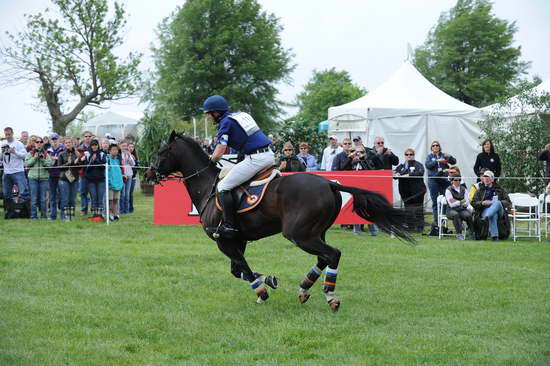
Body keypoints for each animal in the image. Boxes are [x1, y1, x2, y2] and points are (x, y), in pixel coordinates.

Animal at [147, 132, 414, 312]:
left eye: (161, 152)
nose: (149, 174)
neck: (208, 188)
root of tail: (329, 183)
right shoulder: (237, 240)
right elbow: (238, 269)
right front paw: (268, 280)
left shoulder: (224, 240)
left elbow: (242, 269)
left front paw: (262, 291)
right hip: (315, 232)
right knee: (324, 257)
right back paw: (304, 288)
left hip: (299, 234)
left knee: (333, 254)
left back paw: (330, 295)